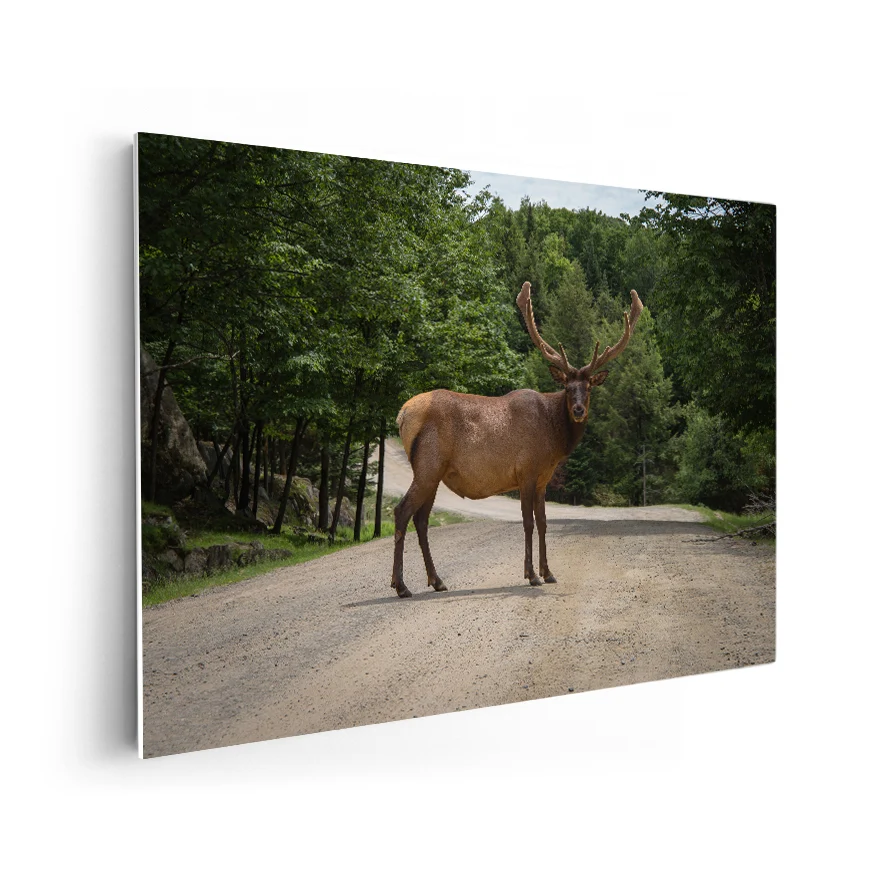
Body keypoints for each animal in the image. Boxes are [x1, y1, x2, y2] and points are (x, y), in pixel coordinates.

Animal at [391, 280, 643, 598]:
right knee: (402, 512)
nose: (578, 410)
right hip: (427, 465)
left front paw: (549, 572)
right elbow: (527, 522)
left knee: (421, 519)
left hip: (433, 473)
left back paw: (437, 581)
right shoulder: (526, 470)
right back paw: (401, 586)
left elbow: (544, 522)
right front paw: (531, 574)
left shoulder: (544, 478)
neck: (553, 439)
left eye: (588, 388)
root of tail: (402, 415)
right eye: (567, 386)